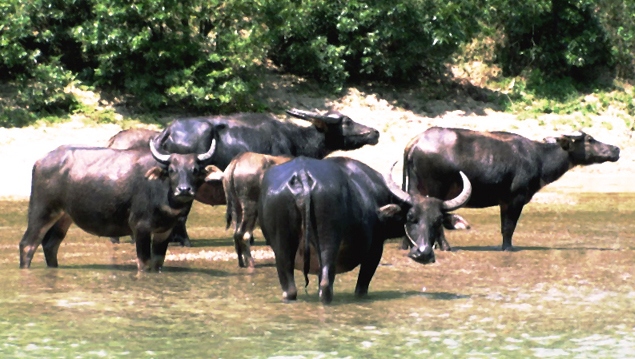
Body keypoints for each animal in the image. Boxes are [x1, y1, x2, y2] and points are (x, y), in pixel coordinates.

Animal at [18, 139, 217, 272]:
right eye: (172, 170)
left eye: (195, 170)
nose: (184, 190)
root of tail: (40, 162)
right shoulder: (140, 228)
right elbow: (144, 264)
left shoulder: (164, 231)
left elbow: (158, 263)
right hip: (41, 210)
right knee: (27, 244)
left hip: (64, 217)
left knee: (50, 245)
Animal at [258, 158, 472, 304]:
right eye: (411, 217)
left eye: (438, 221)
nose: (424, 253)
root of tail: (302, 175)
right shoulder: (374, 251)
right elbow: (361, 288)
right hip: (328, 241)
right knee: (325, 285)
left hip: (282, 247)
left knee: (290, 289)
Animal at [402, 128, 620, 252]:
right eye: (590, 139)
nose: (616, 149)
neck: (539, 158)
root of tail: (413, 143)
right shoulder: (515, 198)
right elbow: (509, 228)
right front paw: (507, 249)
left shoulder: (504, 201)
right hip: (435, 189)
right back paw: (446, 247)